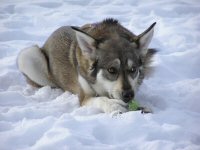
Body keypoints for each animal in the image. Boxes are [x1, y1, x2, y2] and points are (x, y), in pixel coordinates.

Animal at [17, 18, 156, 113]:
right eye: (111, 70)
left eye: (133, 69)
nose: (128, 95)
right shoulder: (84, 96)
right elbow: (100, 99)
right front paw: (113, 105)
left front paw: (142, 107)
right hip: (27, 56)